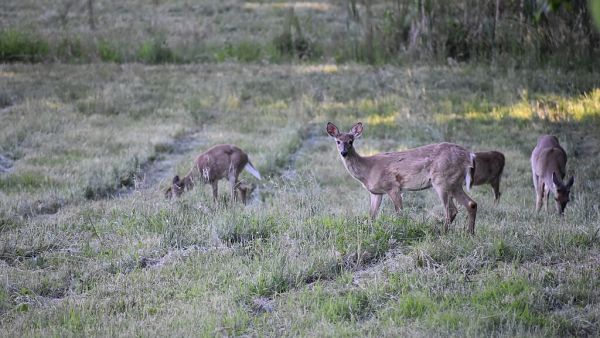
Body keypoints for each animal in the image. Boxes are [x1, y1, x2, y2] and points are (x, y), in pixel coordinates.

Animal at [328, 121, 478, 235]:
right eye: (338, 141)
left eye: (351, 141)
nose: (343, 152)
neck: (368, 170)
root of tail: (468, 155)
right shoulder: (376, 193)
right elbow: (372, 215)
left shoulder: (393, 186)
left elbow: (399, 213)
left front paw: (401, 230)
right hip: (454, 182)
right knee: (471, 204)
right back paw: (469, 233)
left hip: (442, 180)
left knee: (451, 210)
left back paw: (443, 233)